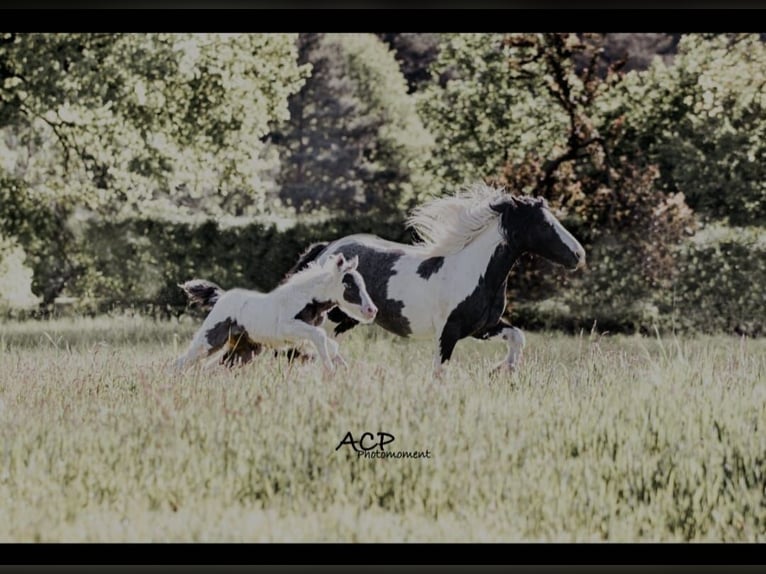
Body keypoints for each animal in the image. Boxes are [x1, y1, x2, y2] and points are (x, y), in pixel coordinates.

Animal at [174, 253, 377, 372]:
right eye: (348, 285)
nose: (371, 310)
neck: (307, 299)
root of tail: (220, 297)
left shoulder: (302, 337)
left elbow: (330, 344)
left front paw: (340, 371)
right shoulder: (287, 328)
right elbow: (320, 335)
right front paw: (330, 370)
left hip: (244, 350)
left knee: (211, 367)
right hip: (209, 340)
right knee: (180, 363)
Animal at [285, 183, 585, 377]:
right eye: (544, 224)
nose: (579, 255)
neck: (474, 273)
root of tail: (325, 250)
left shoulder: (483, 328)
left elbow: (517, 336)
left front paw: (501, 371)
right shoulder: (448, 332)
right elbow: (440, 372)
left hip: (348, 319)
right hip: (328, 317)